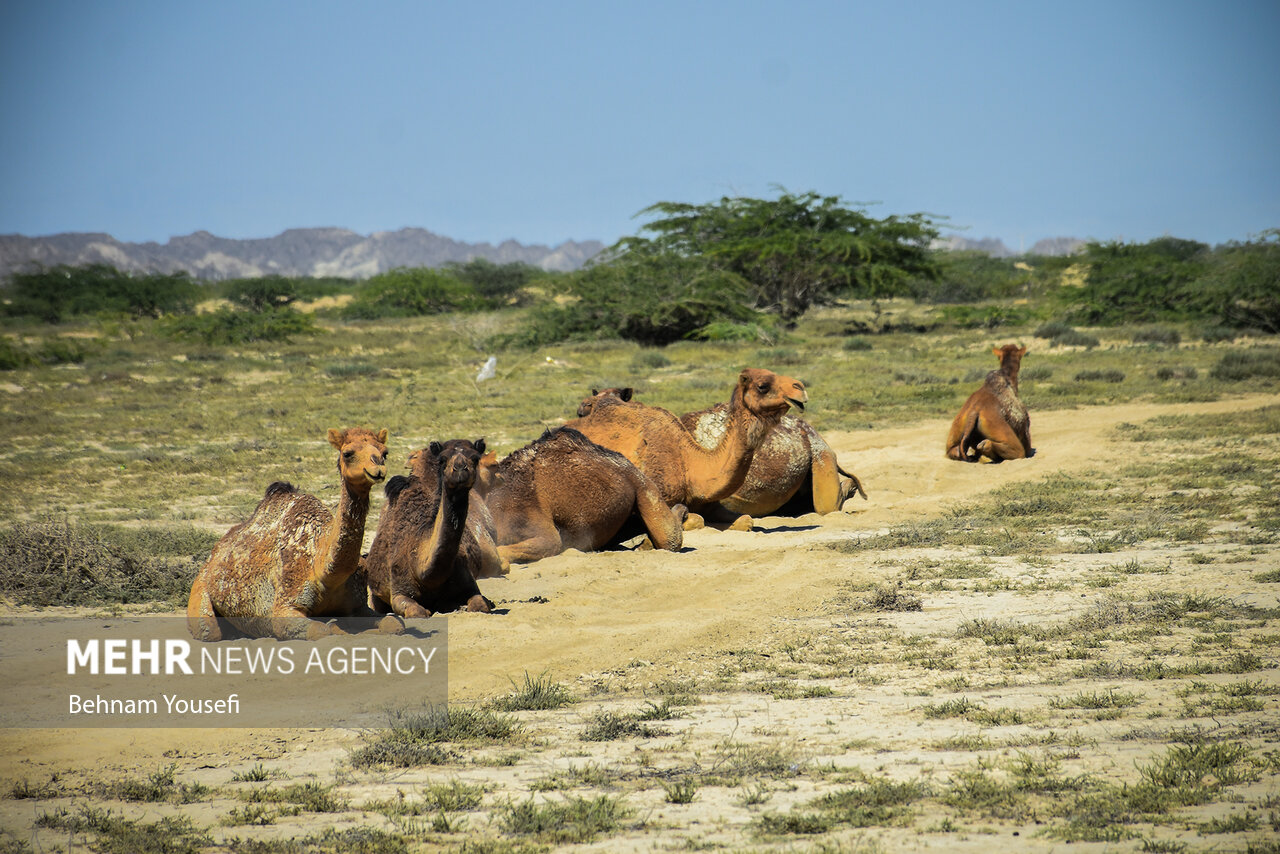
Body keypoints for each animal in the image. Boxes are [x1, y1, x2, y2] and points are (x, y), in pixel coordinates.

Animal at [186, 427, 399, 640]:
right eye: (347, 453)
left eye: (385, 452)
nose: (378, 469)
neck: (323, 570)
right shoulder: (286, 603)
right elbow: (321, 629)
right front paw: (333, 625)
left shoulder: (359, 606)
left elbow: (393, 623)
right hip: (202, 586)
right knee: (209, 630)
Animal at [366, 445, 499, 617]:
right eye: (443, 460)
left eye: (475, 459)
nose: (460, 468)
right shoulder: (398, 590)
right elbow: (417, 612)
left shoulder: (468, 581)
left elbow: (480, 605)